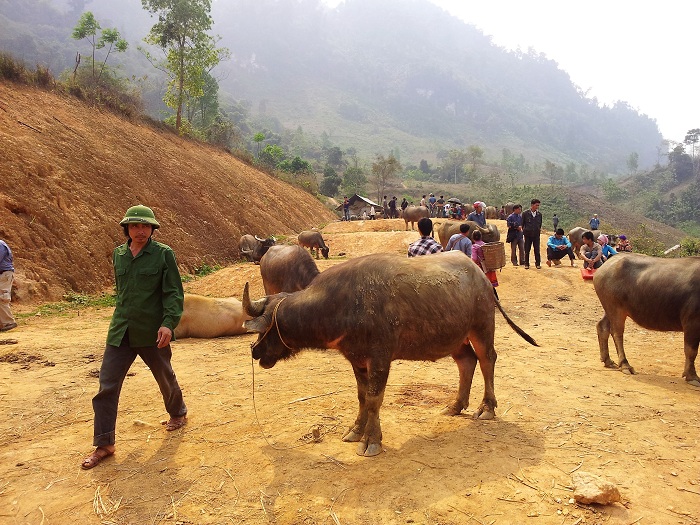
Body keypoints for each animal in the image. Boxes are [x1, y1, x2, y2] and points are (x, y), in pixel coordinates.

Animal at [243, 250, 540, 454]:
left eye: (265, 328)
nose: (255, 351)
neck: (342, 304)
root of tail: (481, 277)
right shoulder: (357, 360)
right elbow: (362, 397)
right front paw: (355, 430)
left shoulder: (380, 359)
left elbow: (375, 399)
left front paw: (371, 441)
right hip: (455, 336)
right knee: (467, 361)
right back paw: (455, 405)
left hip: (482, 326)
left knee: (487, 359)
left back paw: (486, 408)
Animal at [592, 252, 700, 386]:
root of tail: (605, 266)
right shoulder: (692, 323)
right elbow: (691, 351)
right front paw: (692, 376)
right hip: (616, 309)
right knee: (617, 333)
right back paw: (625, 365)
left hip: (610, 309)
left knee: (603, 327)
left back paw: (607, 360)